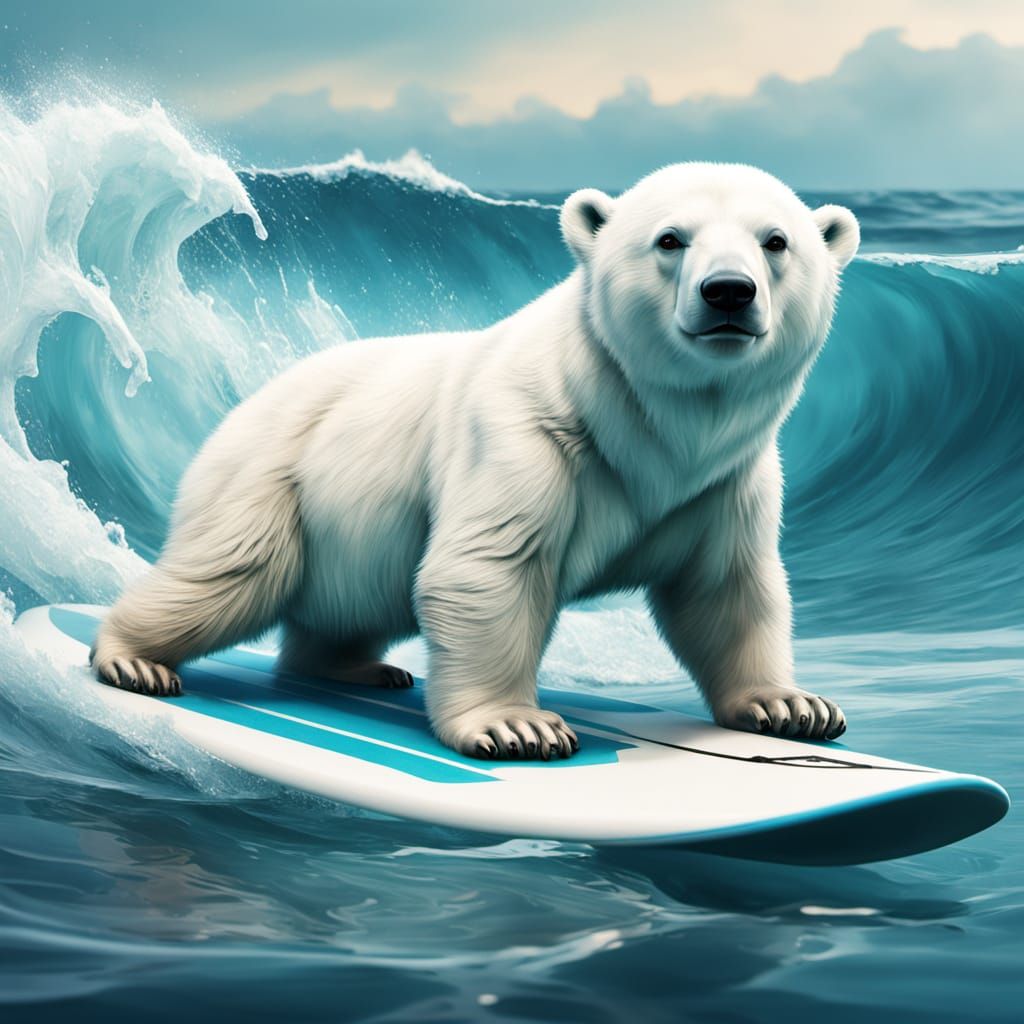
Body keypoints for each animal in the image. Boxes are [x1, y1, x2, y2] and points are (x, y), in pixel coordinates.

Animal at [92, 162, 859, 761]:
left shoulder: (725, 480)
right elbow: (489, 567)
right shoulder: (527, 436)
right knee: (230, 576)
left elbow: (727, 587)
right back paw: (133, 658)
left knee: (351, 602)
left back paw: (359, 669)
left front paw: (790, 707)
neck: (649, 428)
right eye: (670, 239)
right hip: (270, 479)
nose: (728, 291)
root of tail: (244, 403)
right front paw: (518, 727)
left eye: (776, 240)